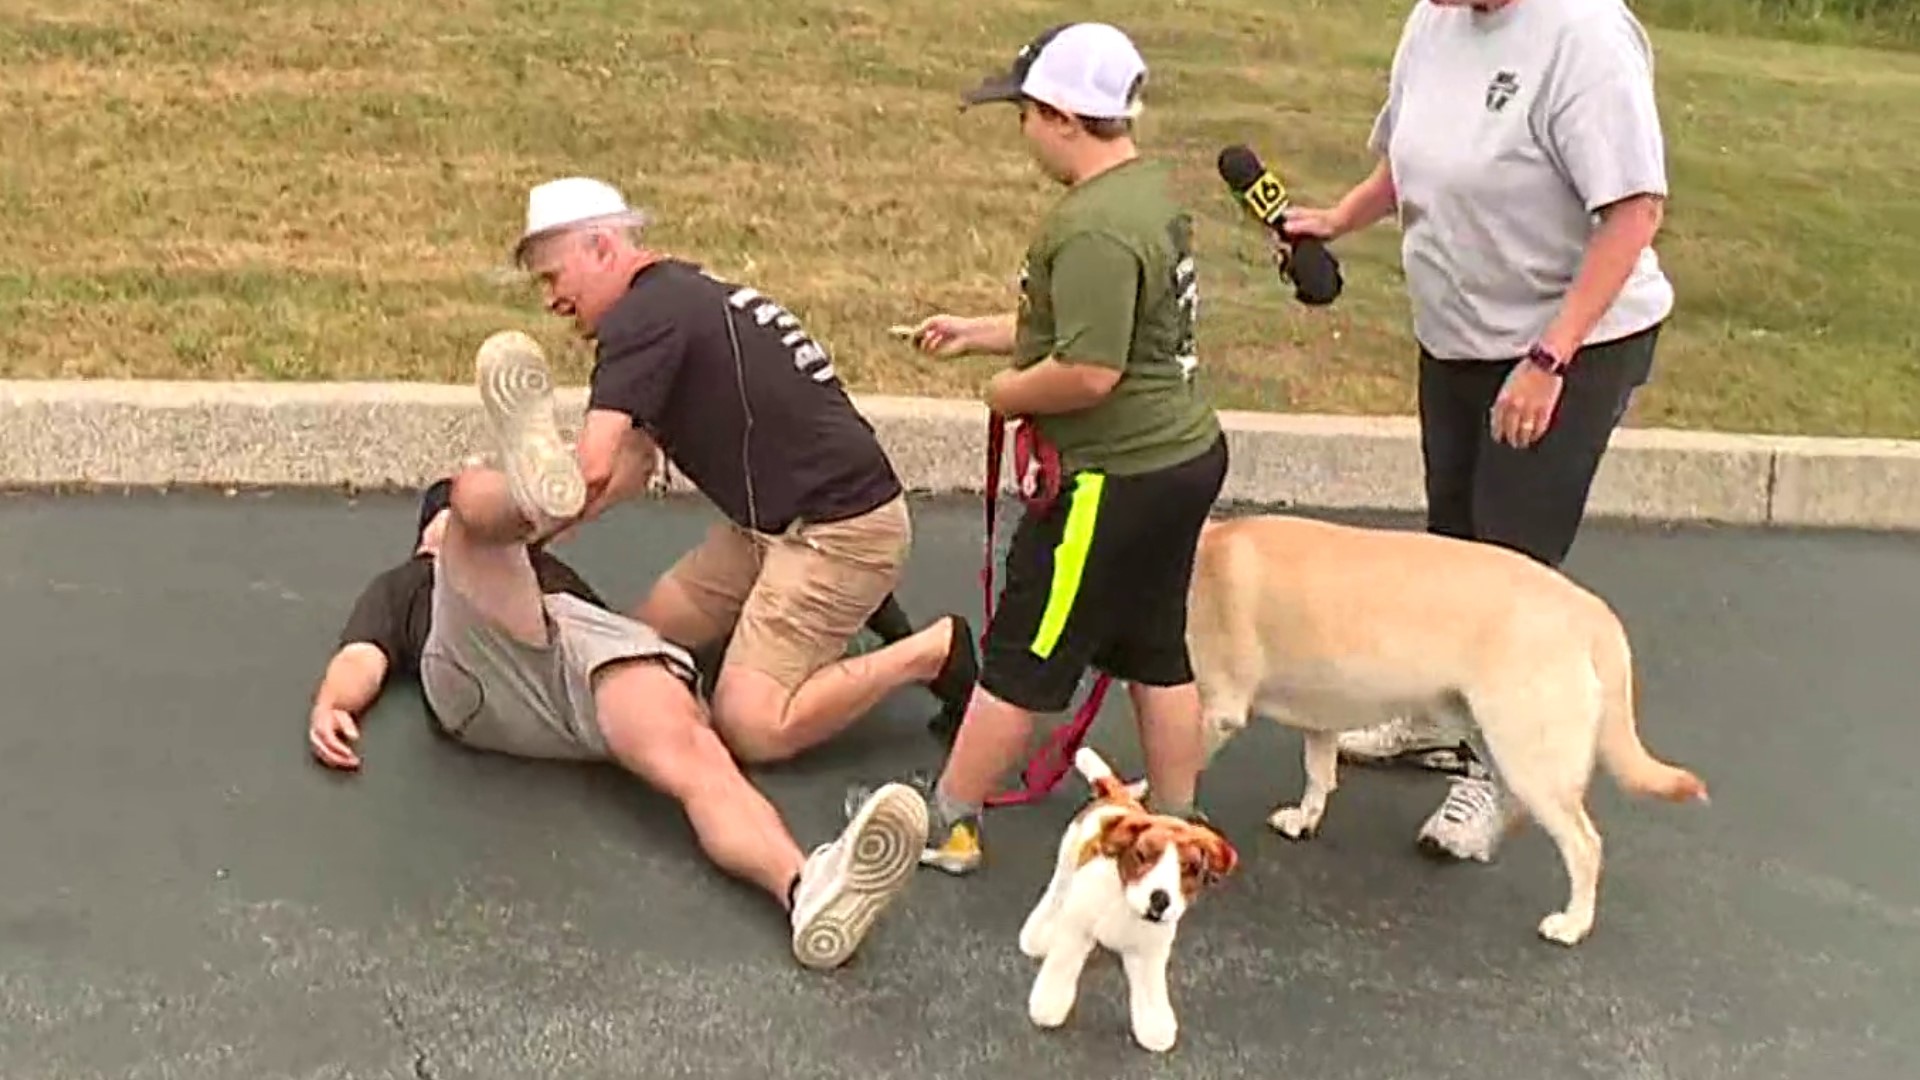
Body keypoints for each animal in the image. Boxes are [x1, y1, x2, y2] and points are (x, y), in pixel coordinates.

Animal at [1182, 511, 1712, 941]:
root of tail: (1591, 610)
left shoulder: (1217, 710)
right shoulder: (1320, 712)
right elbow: (1318, 773)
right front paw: (1304, 818)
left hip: (1525, 749)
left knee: (1583, 844)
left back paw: (1574, 923)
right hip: (1489, 731)